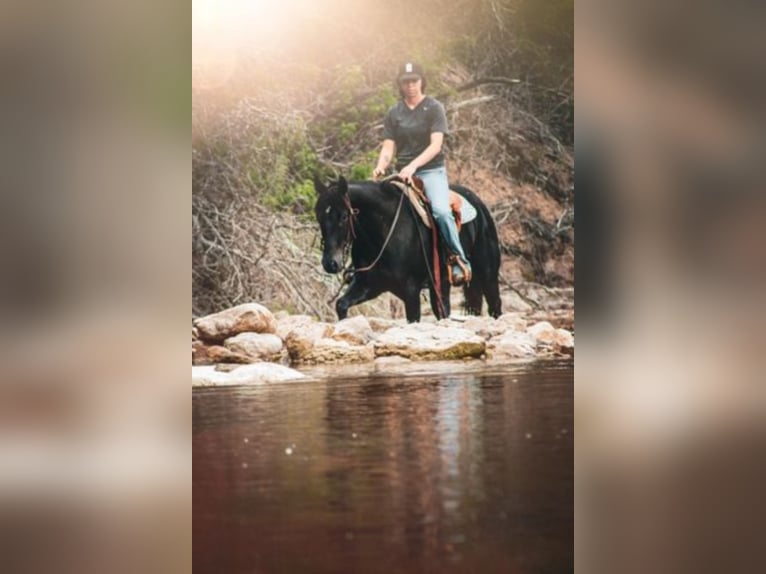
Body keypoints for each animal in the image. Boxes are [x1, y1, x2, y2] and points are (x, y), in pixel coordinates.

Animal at [314, 176, 504, 324]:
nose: (330, 263)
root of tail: (479, 205)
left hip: (487, 274)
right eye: (319, 215)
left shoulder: (411, 290)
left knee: (495, 306)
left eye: (344, 216)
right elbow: (341, 304)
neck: (384, 232)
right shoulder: (368, 285)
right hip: (442, 287)